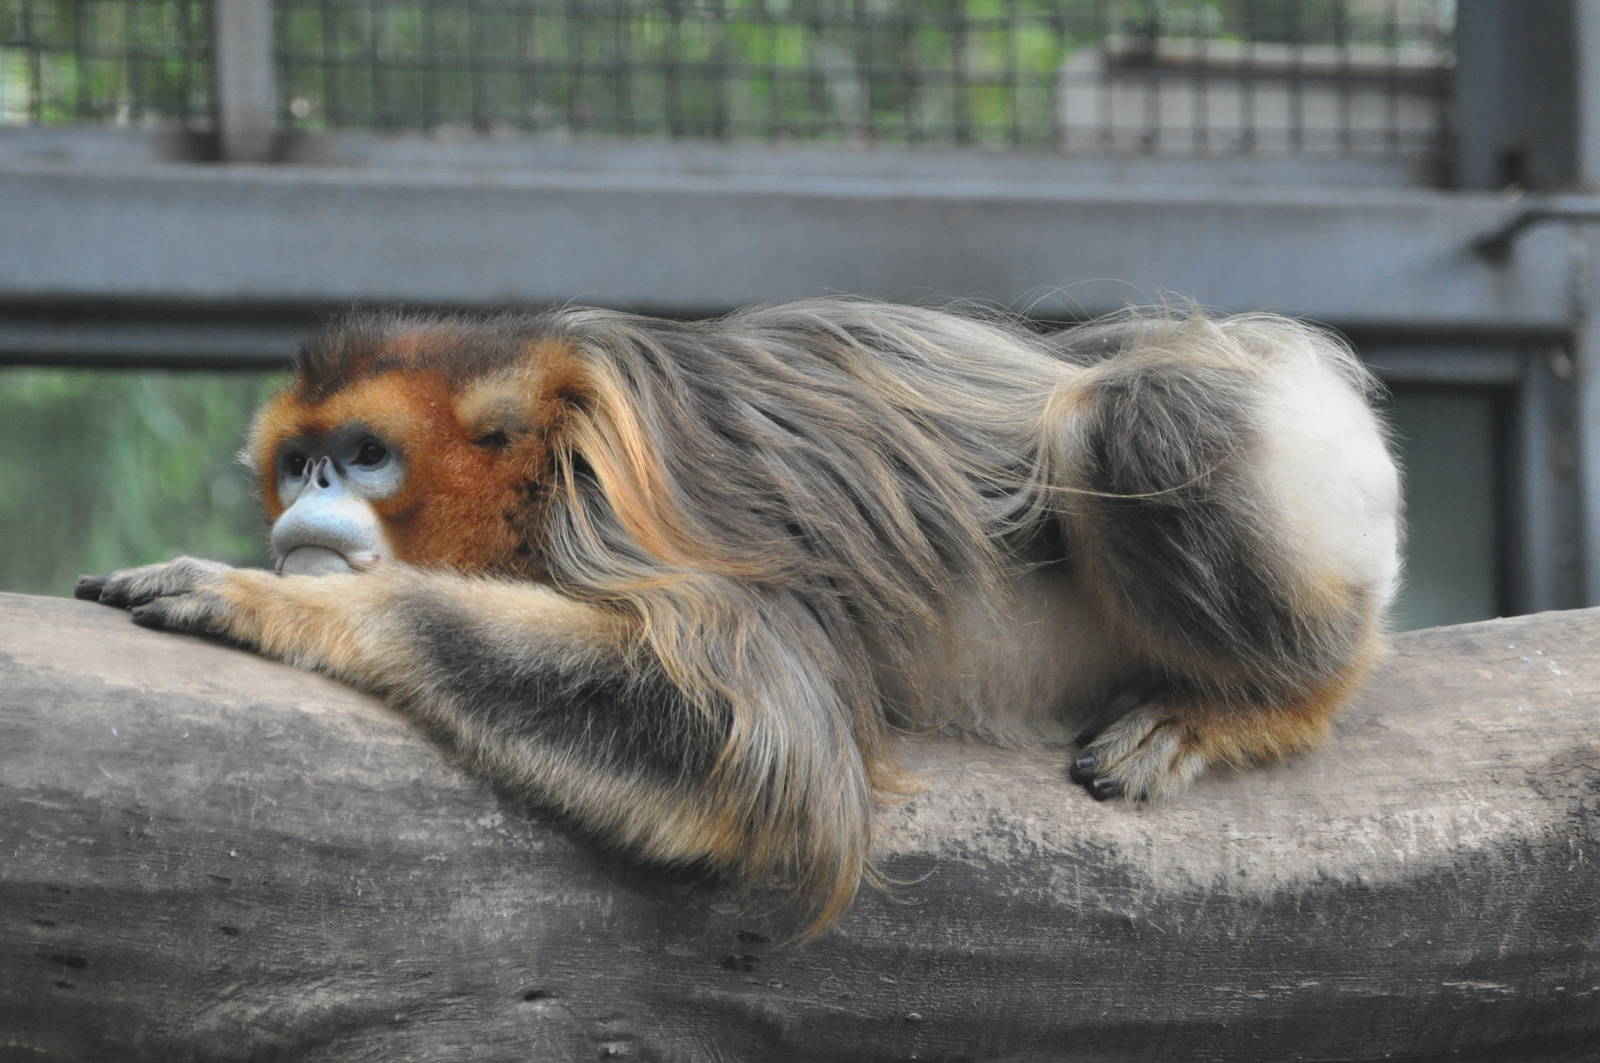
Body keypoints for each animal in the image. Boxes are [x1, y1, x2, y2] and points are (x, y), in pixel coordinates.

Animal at [75, 300, 1401, 934]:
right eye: (298, 462)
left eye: (363, 456)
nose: (312, 494)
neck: (542, 453)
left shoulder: (615, 491)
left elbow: (758, 734)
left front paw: (269, 601)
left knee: (1129, 415)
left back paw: (1268, 701)